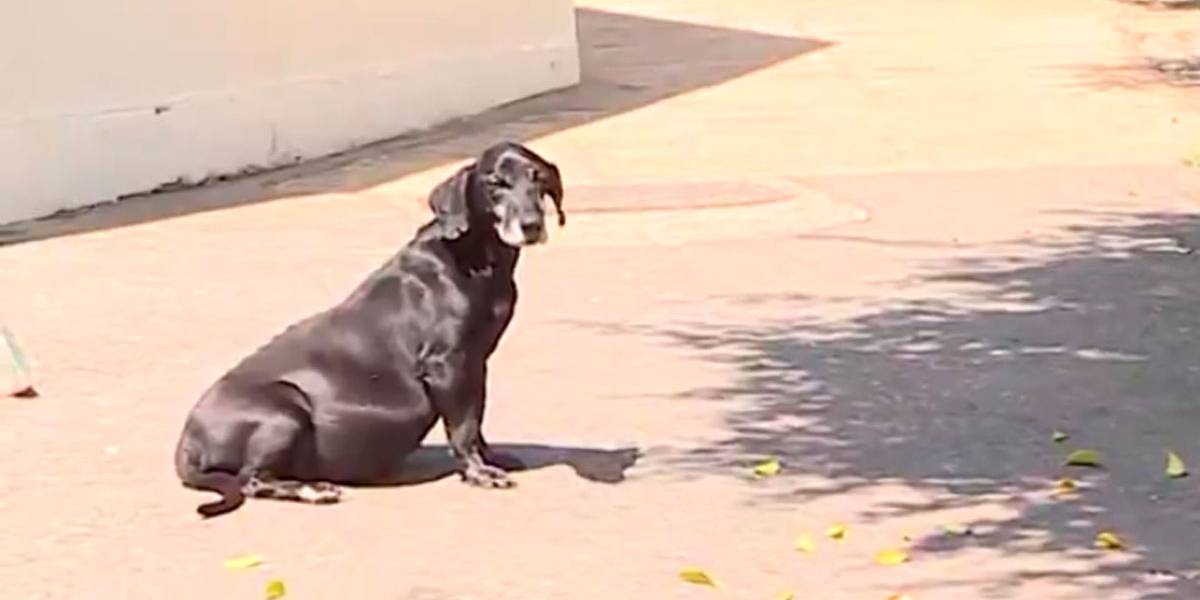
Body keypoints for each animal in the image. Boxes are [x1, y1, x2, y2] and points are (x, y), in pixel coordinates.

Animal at [174, 139, 566, 516]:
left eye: (538, 178)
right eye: (495, 183)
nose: (531, 225)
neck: (475, 255)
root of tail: (187, 445)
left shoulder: (476, 364)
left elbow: (477, 418)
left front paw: (490, 458)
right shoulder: (448, 365)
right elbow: (464, 428)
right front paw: (478, 472)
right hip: (283, 411)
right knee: (251, 480)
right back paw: (313, 490)